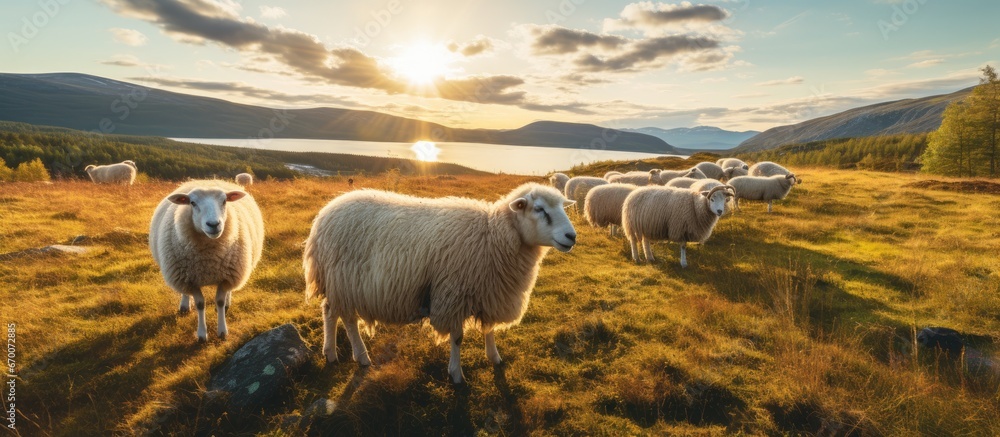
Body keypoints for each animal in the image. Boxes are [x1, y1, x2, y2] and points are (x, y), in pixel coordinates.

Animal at [148, 178, 264, 340]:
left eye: (224, 201)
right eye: (192, 203)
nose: (213, 224)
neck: (208, 260)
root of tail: (207, 180)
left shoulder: (226, 277)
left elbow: (219, 301)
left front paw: (222, 331)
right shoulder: (190, 280)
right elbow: (200, 304)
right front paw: (202, 334)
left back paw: (227, 303)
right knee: (184, 291)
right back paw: (184, 305)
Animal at [300, 182, 576, 384]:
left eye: (562, 207)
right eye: (539, 209)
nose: (571, 236)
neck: (492, 236)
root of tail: (324, 213)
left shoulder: (490, 291)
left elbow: (489, 329)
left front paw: (495, 357)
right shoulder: (453, 295)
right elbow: (457, 338)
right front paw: (456, 375)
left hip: (341, 283)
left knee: (332, 312)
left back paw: (336, 353)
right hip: (344, 280)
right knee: (344, 318)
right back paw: (355, 355)